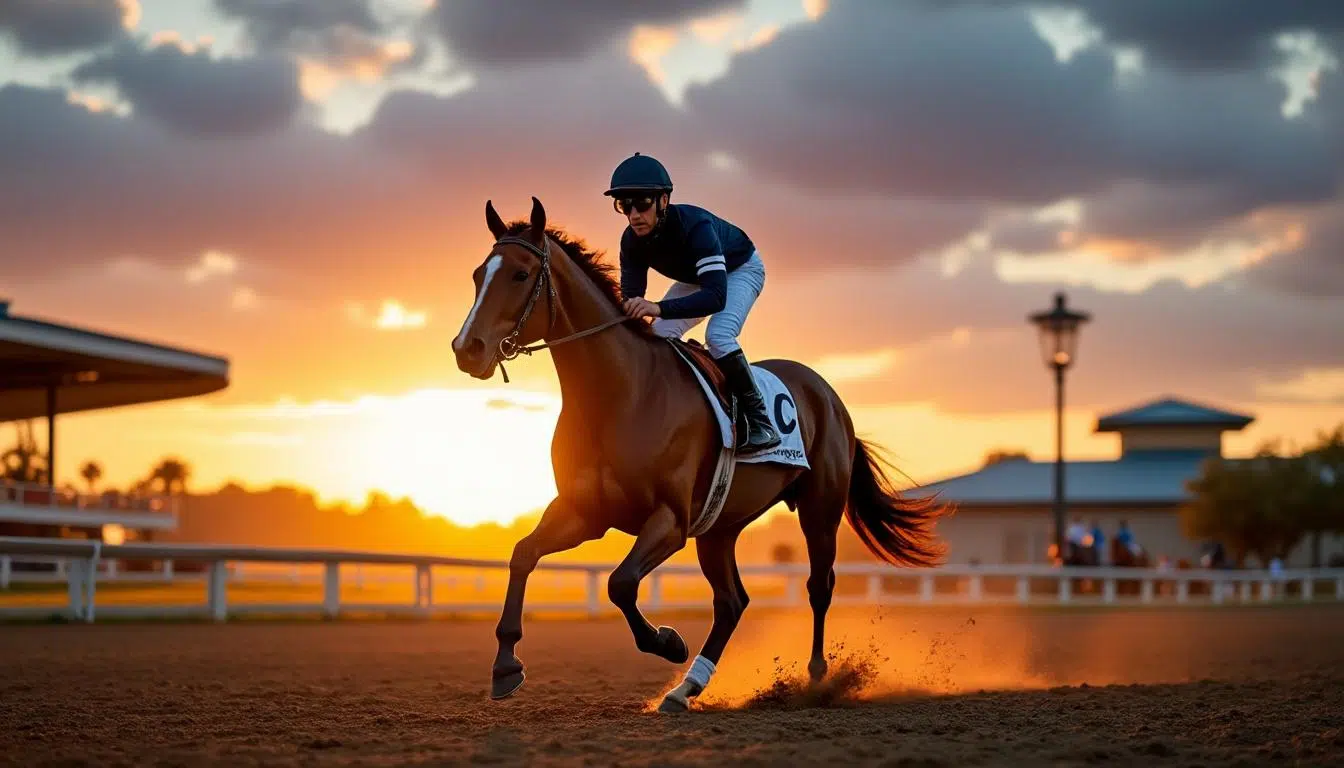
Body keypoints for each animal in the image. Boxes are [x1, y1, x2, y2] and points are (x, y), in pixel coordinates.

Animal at [450, 197, 952, 712]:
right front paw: (505, 666)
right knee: (732, 602)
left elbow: (620, 583)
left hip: (820, 509)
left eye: (520, 274)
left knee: (818, 586)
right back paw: (686, 687)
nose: (467, 349)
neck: (620, 395)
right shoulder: (584, 513)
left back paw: (815, 677)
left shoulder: (670, 521)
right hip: (720, 526)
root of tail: (828, 394)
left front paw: (667, 641)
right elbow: (523, 555)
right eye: (478, 274)